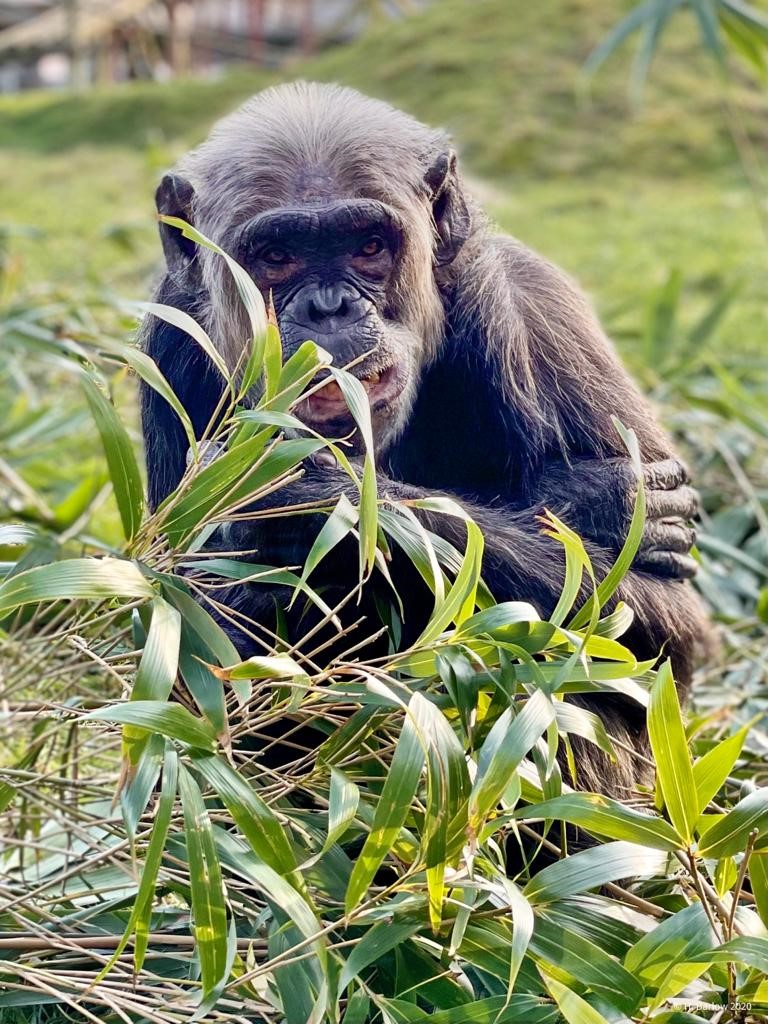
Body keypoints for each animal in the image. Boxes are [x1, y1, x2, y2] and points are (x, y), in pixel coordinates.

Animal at [140, 82, 707, 795]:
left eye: (367, 246)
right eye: (277, 256)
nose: (329, 307)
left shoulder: (539, 316)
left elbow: (657, 628)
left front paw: (313, 499)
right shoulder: (170, 342)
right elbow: (184, 627)